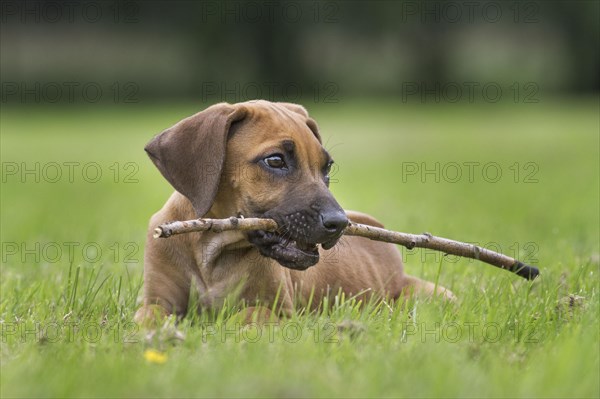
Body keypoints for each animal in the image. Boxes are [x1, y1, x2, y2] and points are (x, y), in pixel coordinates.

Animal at [135, 100, 454, 324]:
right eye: (275, 161)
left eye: (327, 168)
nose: (339, 223)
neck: (211, 246)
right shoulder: (156, 300)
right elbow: (149, 316)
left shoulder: (281, 313)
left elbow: (246, 314)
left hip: (428, 295)